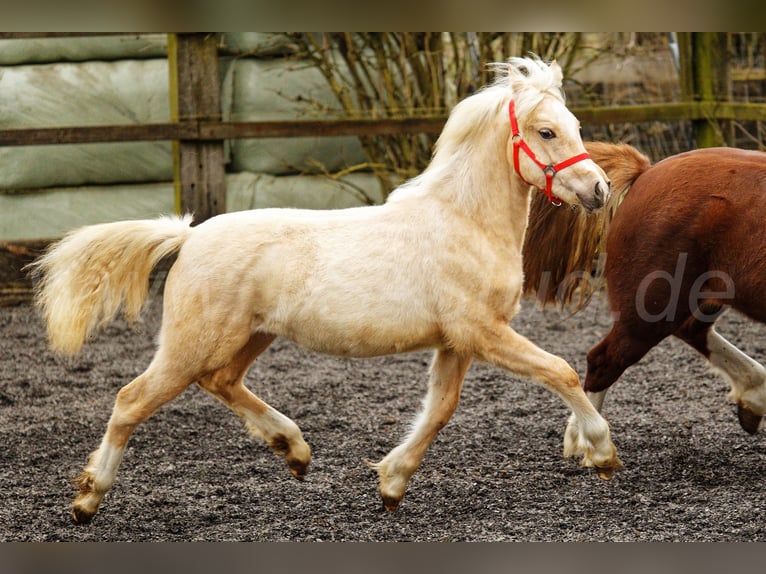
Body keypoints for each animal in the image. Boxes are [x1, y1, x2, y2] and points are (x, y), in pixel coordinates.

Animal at [30, 58, 620, 528]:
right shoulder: (483, 331)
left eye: (574, 126)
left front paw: (390, 483)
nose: (599, 189)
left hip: (248, 337)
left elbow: (440, 409)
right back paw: (87, 501)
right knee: (132, 400)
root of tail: (190, 235)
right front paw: (601, 451)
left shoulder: (456, 341)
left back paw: (294, 449)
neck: (464, 222)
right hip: (190, 344)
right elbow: (561, 372)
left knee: (221, 382)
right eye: (546, 132)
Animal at [524, 143, 766, 446]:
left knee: (692, 330)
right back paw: (591, 445)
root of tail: (647, 172)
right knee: (603, 360)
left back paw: (754, 398)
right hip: (651, 307)